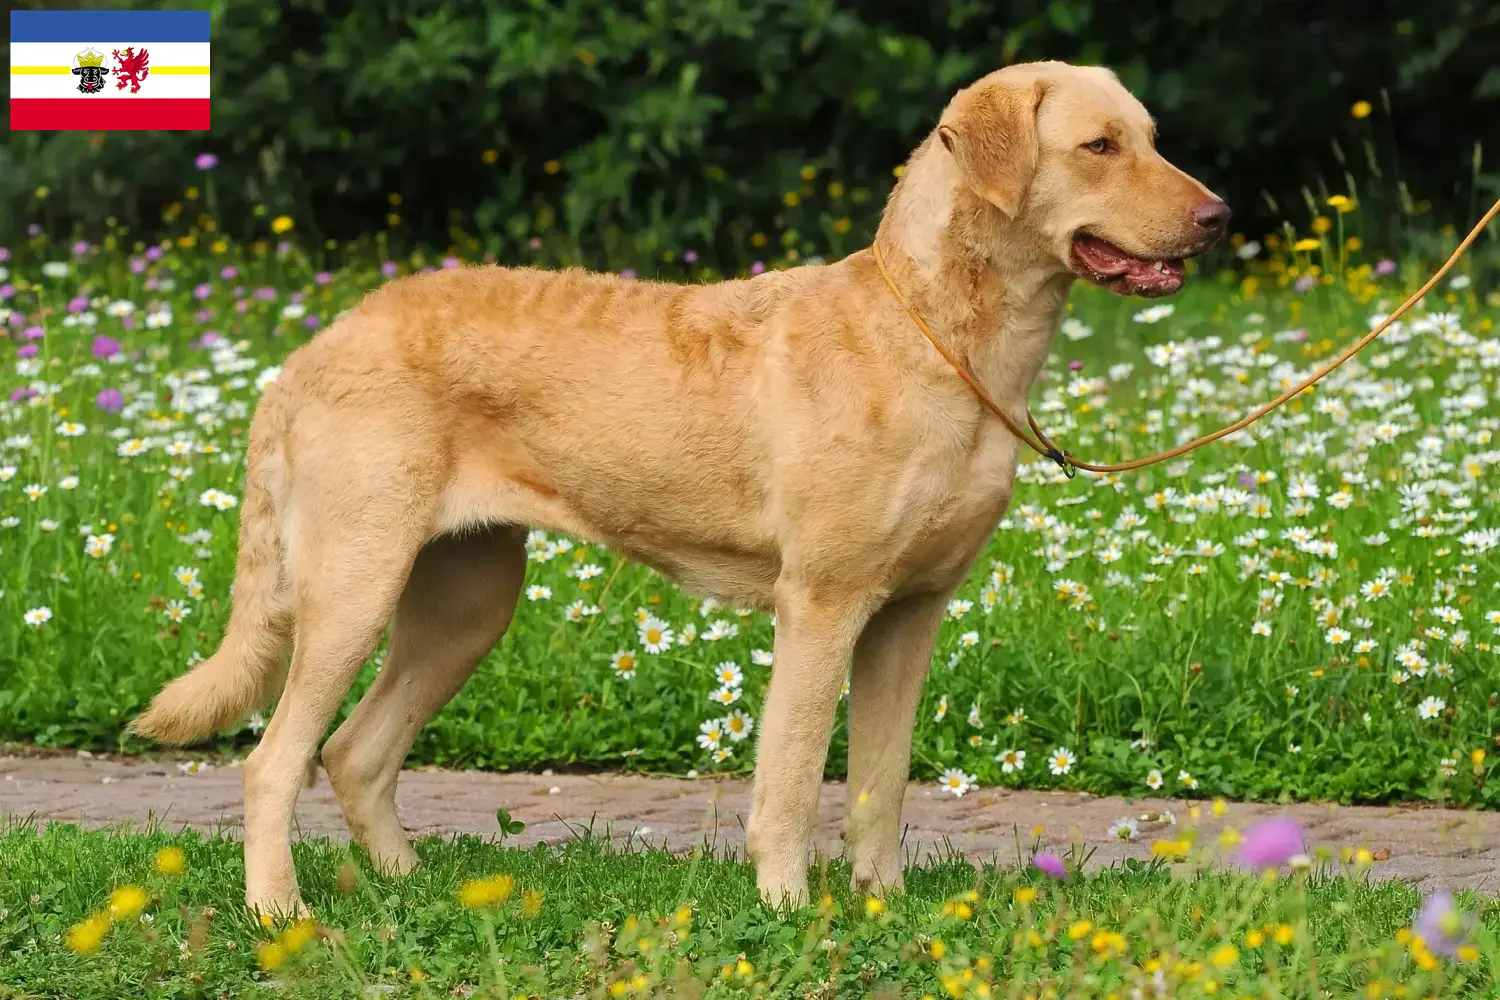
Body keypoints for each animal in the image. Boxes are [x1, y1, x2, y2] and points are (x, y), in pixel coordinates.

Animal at [135, 60, 1224, 917]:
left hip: (466, 598)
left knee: (356, 751)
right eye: (1098, 145)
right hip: (354, 584)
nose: (1219, 217)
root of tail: (310, 351)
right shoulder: (822, 603)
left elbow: (880, 781)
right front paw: (789, 911)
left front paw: (883, 905)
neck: (943, 336)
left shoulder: (910, 614)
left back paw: (416, 891)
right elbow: (792, 779)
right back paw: (282, 915)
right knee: (274, 760)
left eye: (1152, 138)